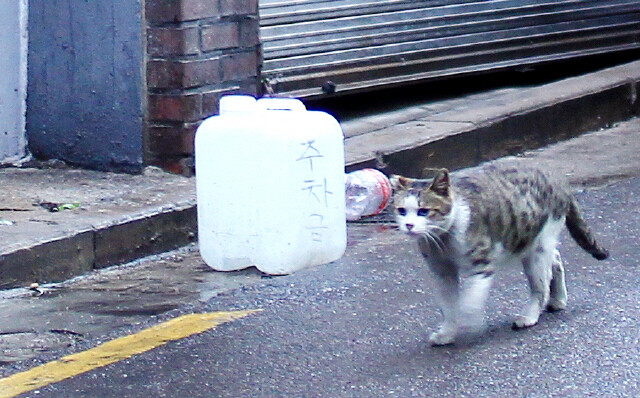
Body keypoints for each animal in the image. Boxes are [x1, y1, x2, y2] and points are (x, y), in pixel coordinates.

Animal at [390, 162, 608, 346]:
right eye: (401, 211)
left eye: (423, 211)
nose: (408, 225)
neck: (443, 241)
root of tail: (556, 176)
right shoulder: (441, 271)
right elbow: (448, 306)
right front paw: (447, 333)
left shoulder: (482, 265)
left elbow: (470, 302)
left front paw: (469, 322)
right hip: (536, 244)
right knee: (555, 260)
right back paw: (558, 300)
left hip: (537, 250)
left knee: (541, 286)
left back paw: (529, 316)